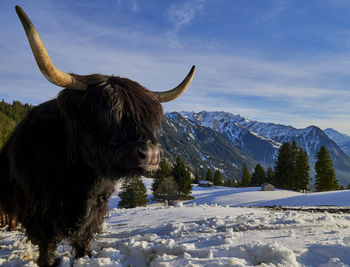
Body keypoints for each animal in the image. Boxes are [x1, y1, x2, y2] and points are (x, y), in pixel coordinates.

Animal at [0, 6, 196, 267]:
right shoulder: (40, 208)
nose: (151, 155)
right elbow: (46, 245)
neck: (81, 177)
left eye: (150, 119)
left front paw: (85, 256)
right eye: (106, 116)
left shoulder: (97, 207)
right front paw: (48, 261)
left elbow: (84, 238)